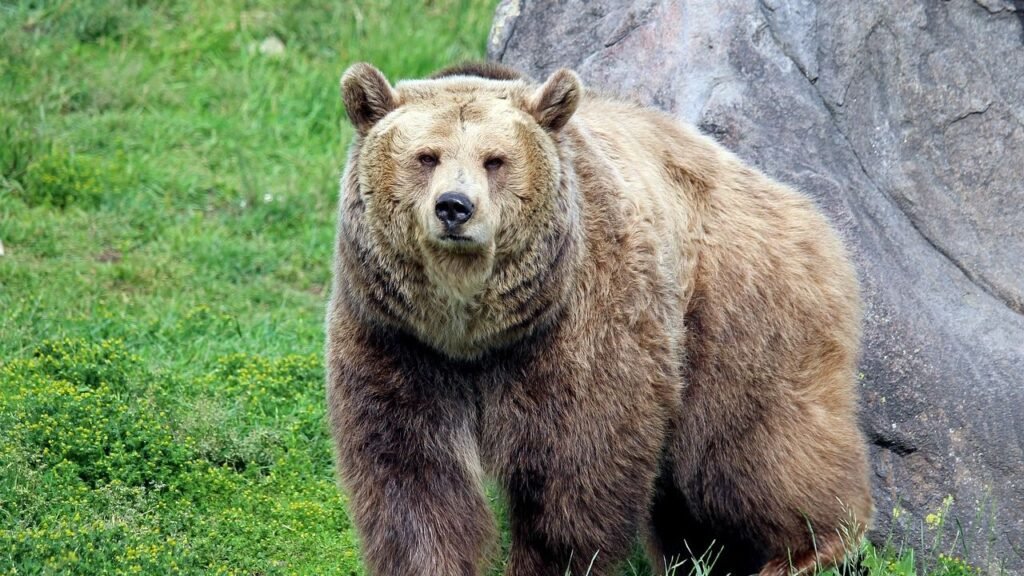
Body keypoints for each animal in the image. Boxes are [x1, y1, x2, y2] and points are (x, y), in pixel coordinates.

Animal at [326, 61, 873, 576]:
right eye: (427, 156)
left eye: (495, 160)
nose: (454, 207)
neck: (472, 332)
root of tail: (802, 206)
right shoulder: (397, 339)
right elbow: (411, 473)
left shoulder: (580, 325)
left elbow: (577, 462)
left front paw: (552, 561)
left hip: (737, 307)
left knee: (748, 448)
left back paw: (812, 548)